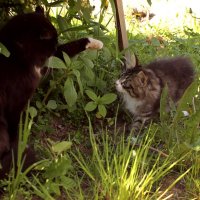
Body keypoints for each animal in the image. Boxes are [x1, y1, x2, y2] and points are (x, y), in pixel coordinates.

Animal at [0, 7, 103, 177]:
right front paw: (18, 147)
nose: (56, 45)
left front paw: (95, 42)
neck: (16, 55)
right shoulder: (15, 103)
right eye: (52, 43)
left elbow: (66, 50)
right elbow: (14, 128)